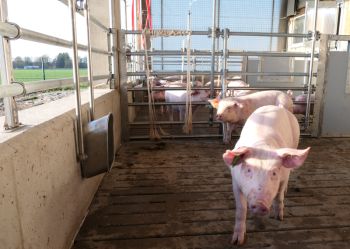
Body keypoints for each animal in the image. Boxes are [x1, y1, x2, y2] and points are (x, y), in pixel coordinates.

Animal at [223, 105, 310, 245]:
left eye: (274, 172)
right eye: (248, 170)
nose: (260, 203)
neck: (262, 145)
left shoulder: (283, 177)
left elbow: (279, 196)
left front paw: (279, 218)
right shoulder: (235, 182)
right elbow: (241, 209)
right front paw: (237, 241)